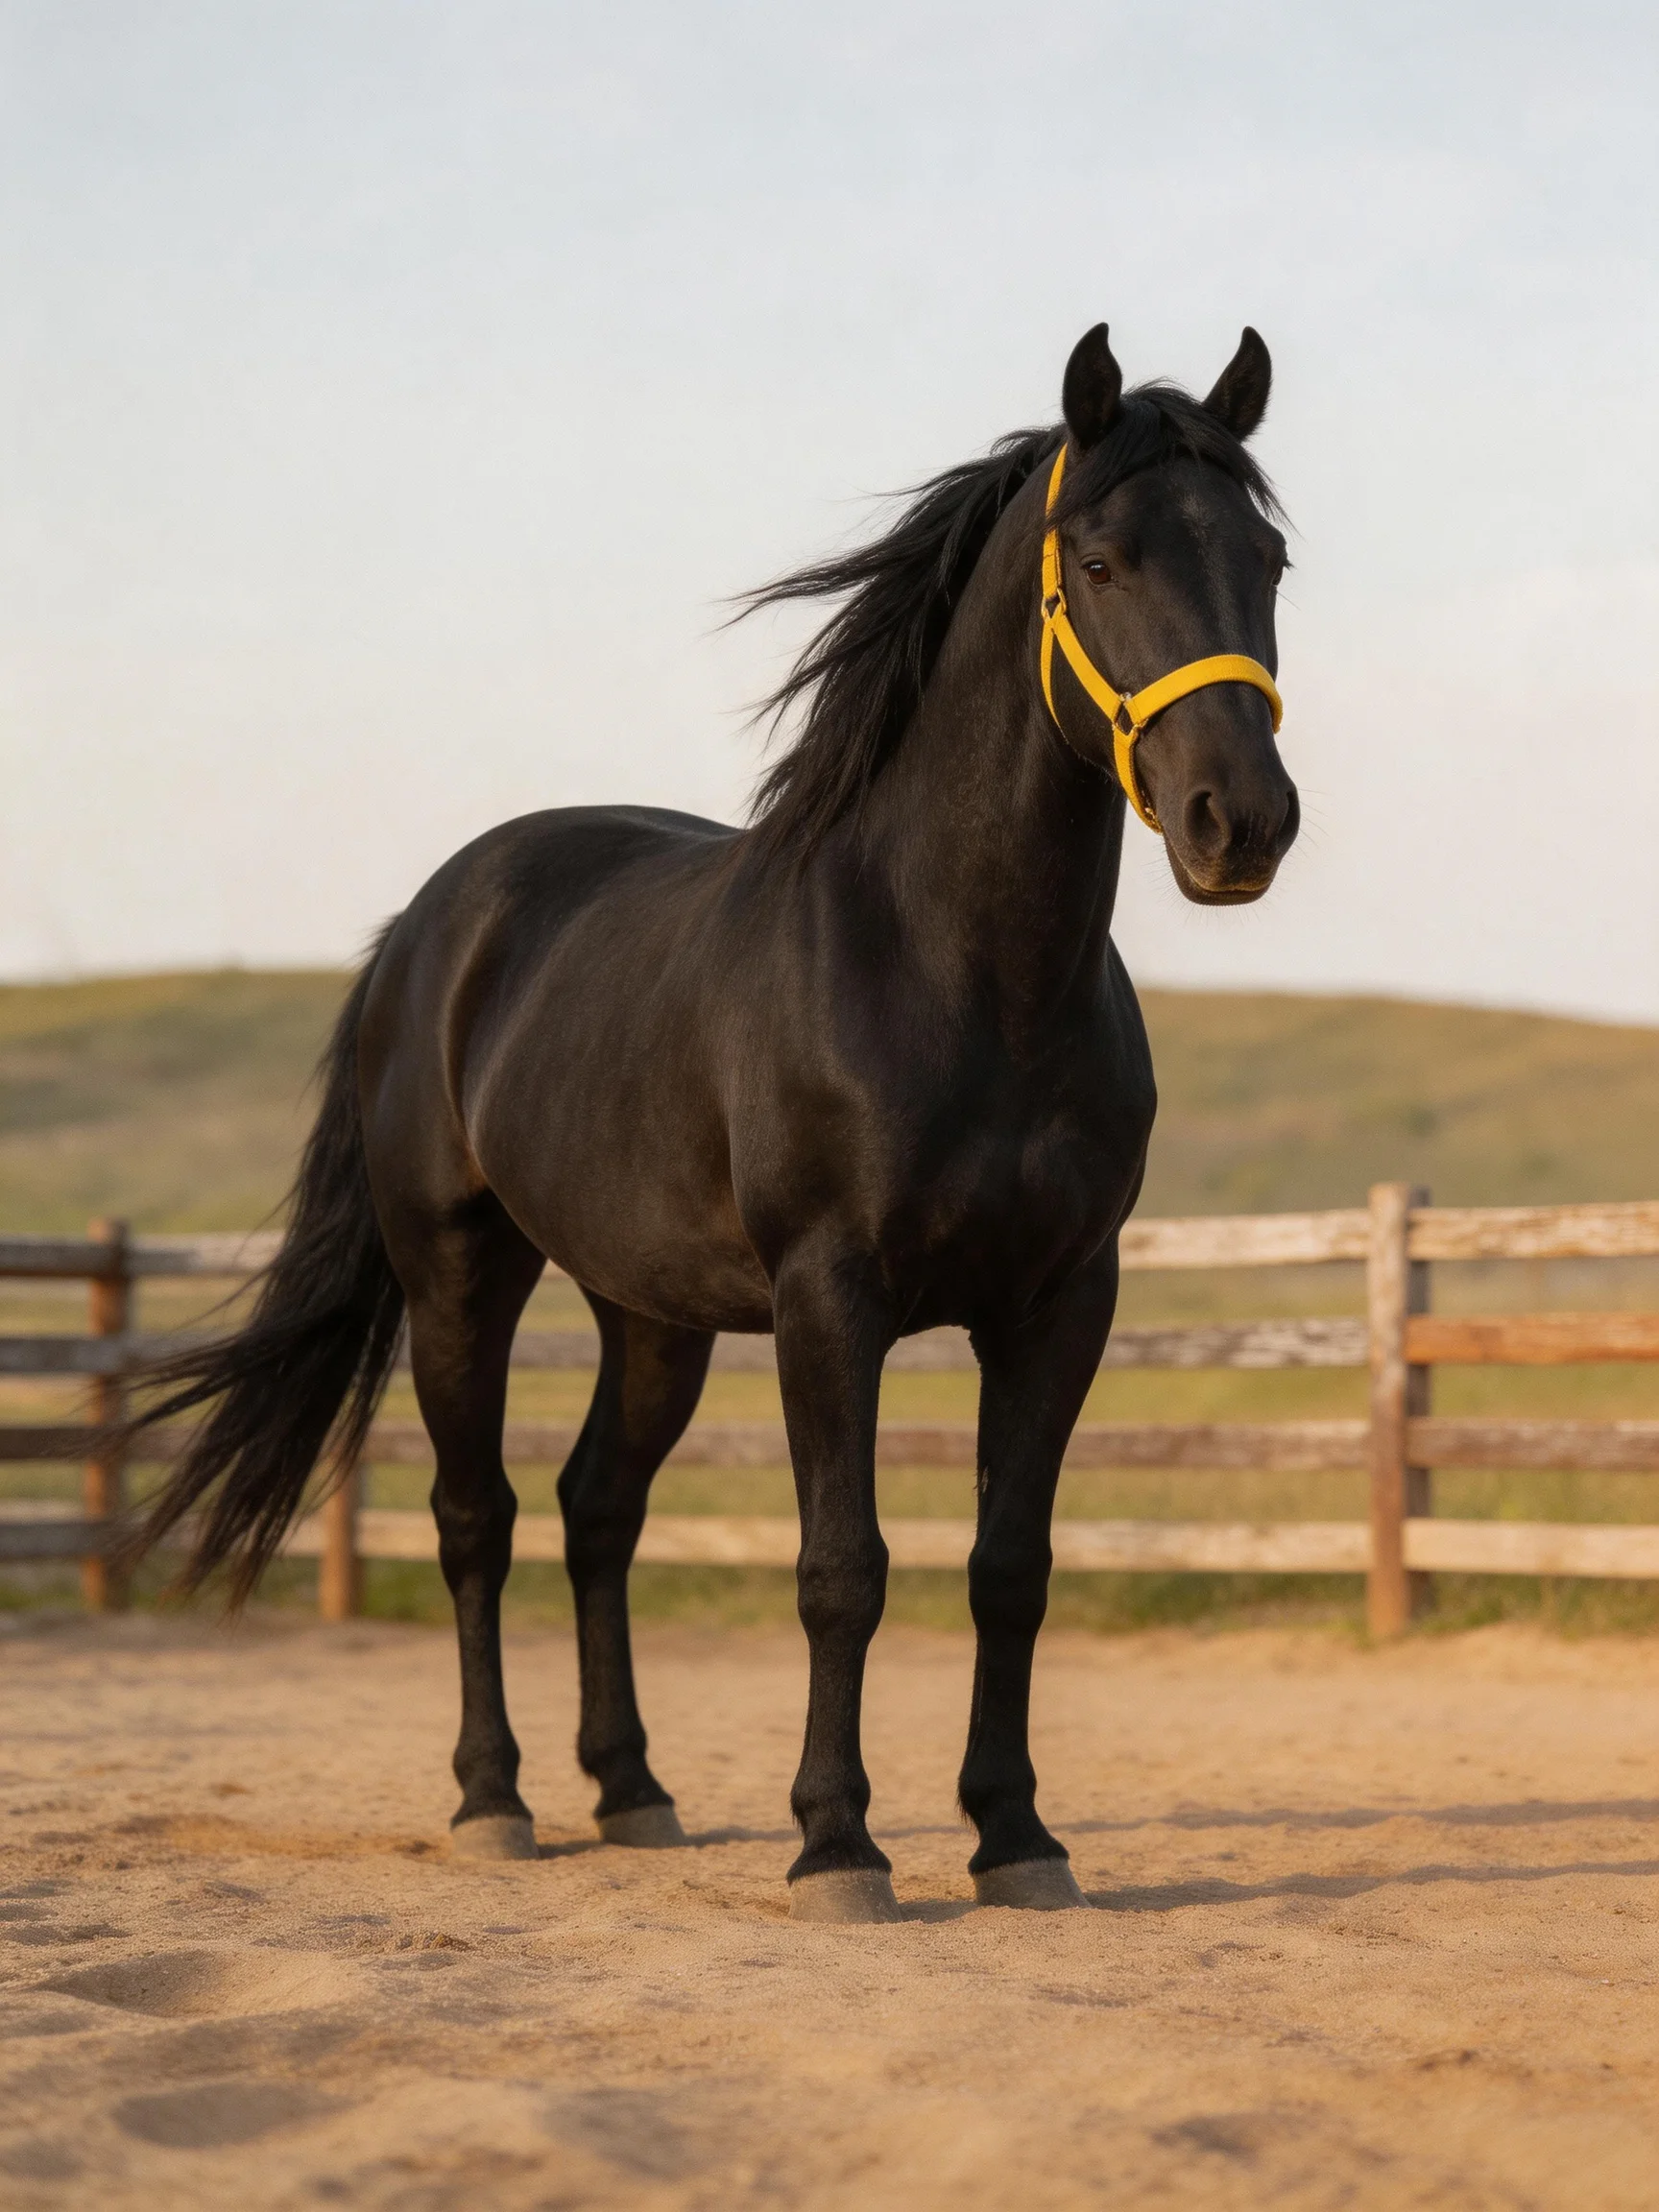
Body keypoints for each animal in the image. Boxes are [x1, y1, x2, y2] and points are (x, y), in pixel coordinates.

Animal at [126, 322, 1298, 1923]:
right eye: (1103, 560)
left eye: (1270, 560)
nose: (1239, 822)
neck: (960, 976)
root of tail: (432, 922)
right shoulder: (830, 1299)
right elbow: (841, 1567)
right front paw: (838, 1846)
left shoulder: (1063, 1302)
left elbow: (1011, 1565)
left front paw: (1015, 1837)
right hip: (458, 1274)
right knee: (477, 1517)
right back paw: (494, 1801)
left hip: (652, 1314)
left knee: (597, 1510)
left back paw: (632, 1791)